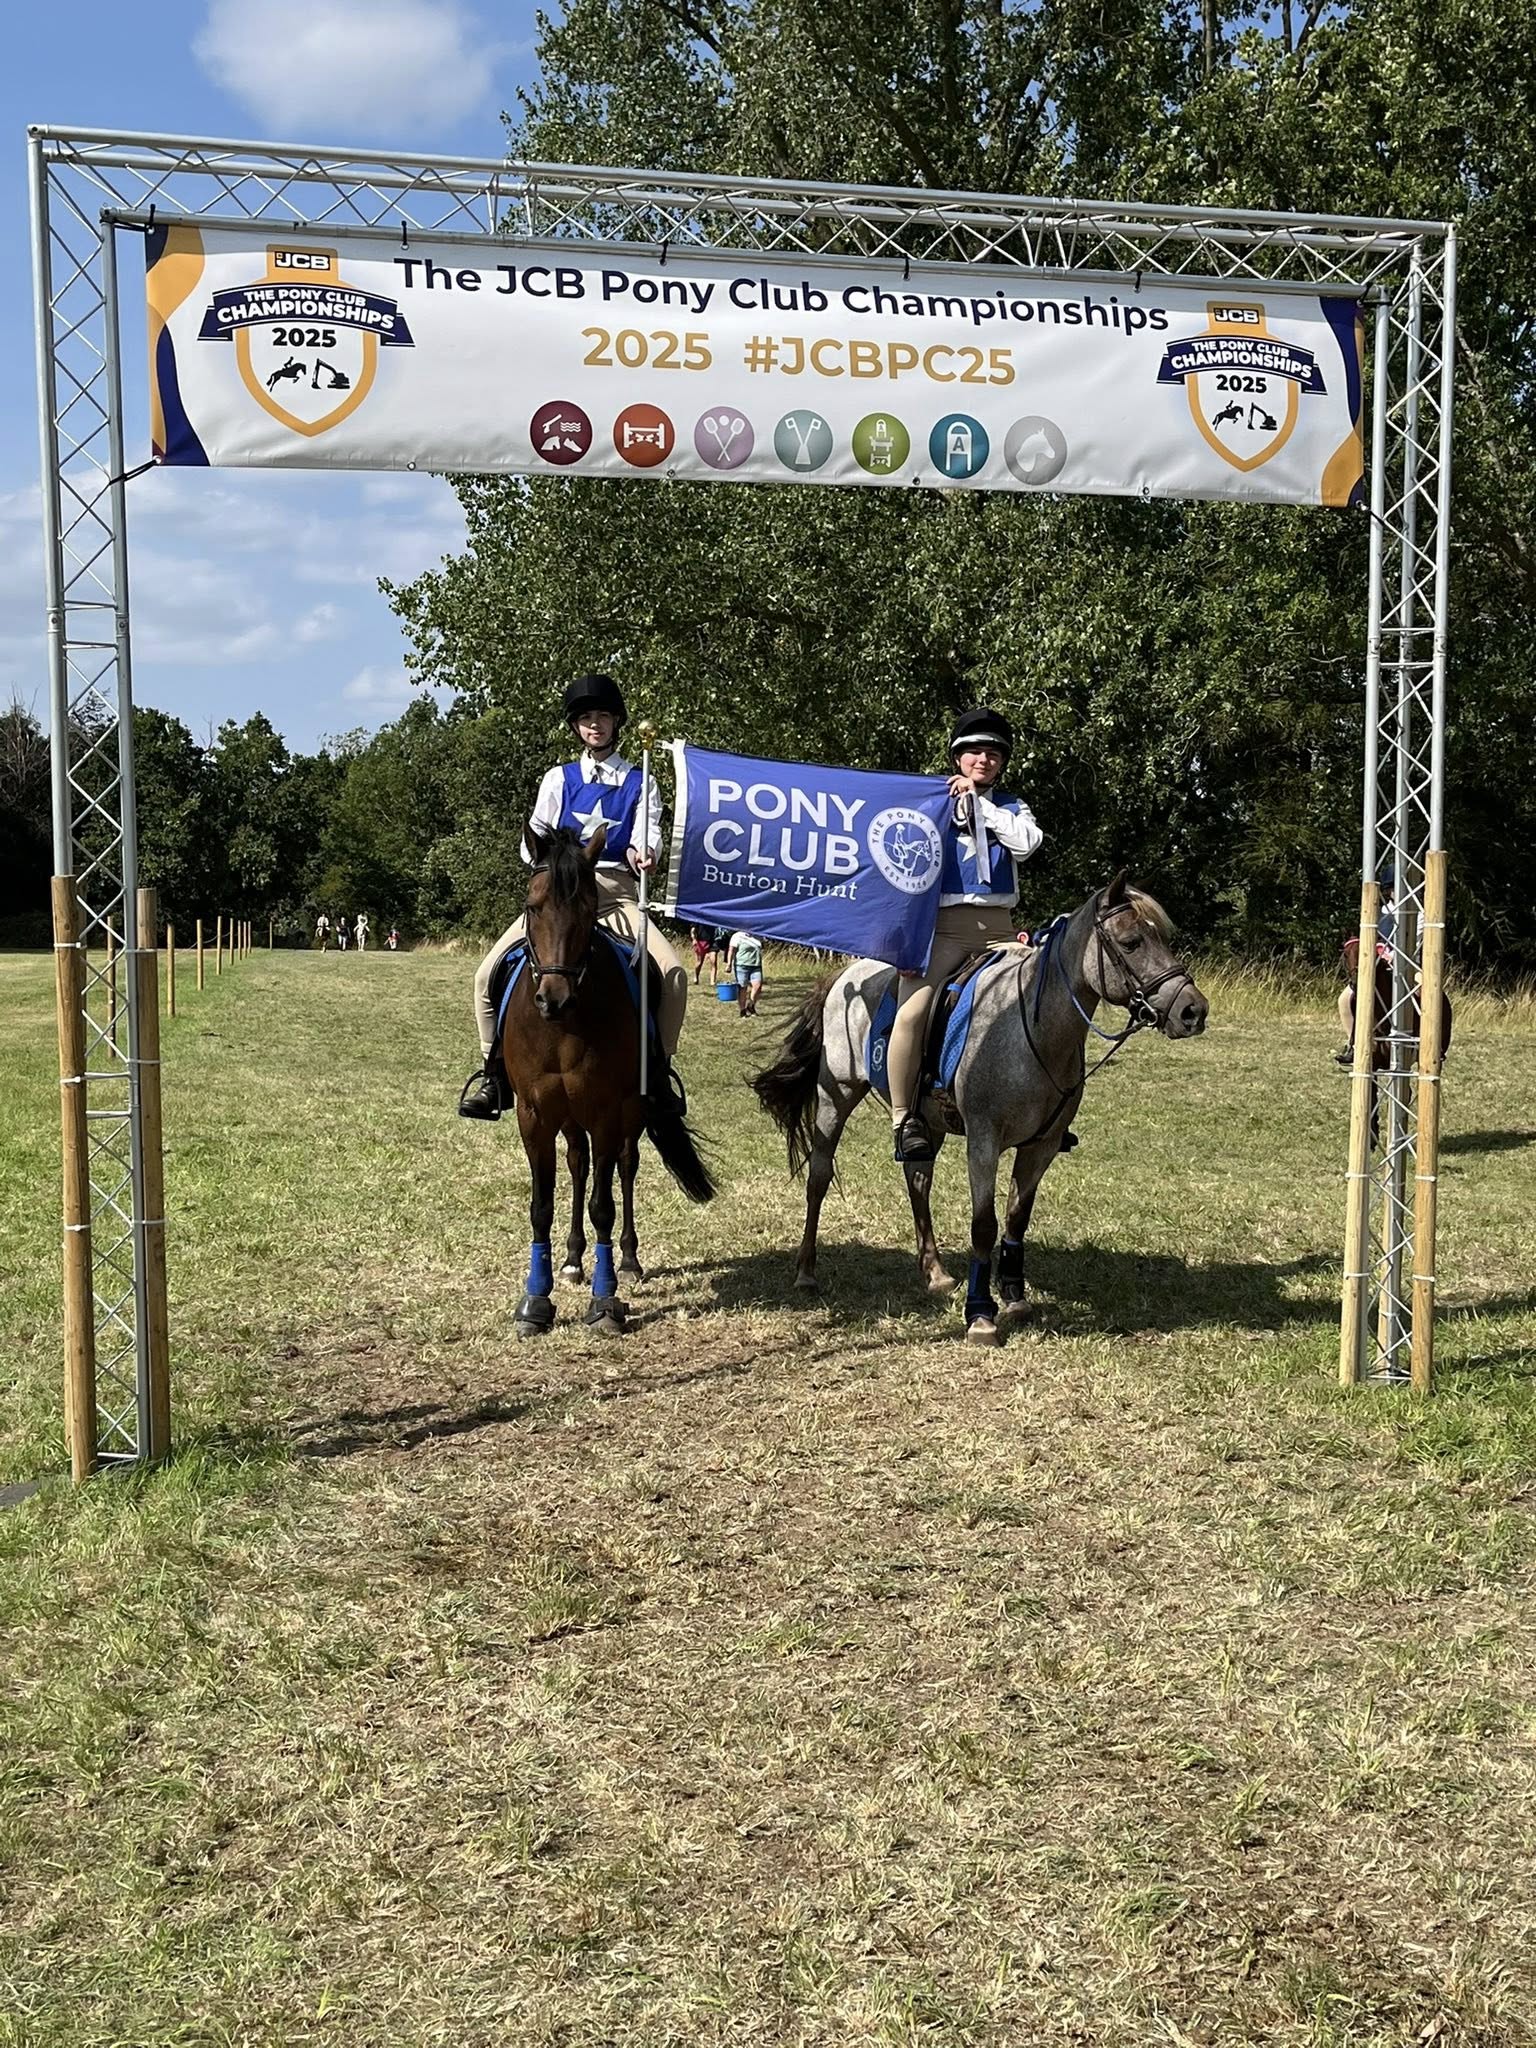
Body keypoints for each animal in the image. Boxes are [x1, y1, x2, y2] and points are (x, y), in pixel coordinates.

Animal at [498, 823, 715, 1338]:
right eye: (533, 905)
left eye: (584, 909)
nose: (552, 999)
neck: (564, 1026)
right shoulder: (533, 1114)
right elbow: (541, 1206)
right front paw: (535, 1302)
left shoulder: (605, 1112)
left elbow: (604, 1204)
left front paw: (605, 1301)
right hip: (569, 1117)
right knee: (578, 1165)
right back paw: (573, 1259)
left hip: (628, 1115)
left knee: (625, 1167)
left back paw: (629, 1261)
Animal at [752, 874, 1209, 1344]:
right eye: (1132, 942)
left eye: (1163, 938)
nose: (1193, 1010)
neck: (1030, 1030)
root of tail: (843, 975)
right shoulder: (984, 1142)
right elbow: (984, 1225)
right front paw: (981, 1314)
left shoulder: (1040, 1147)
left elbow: (1016, 1220)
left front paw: (1015, 1297)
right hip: (835, 1097)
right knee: (819, 1177)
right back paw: (806, 1272)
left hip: (927, 1122)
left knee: (918, 1180)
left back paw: (934, 1273)